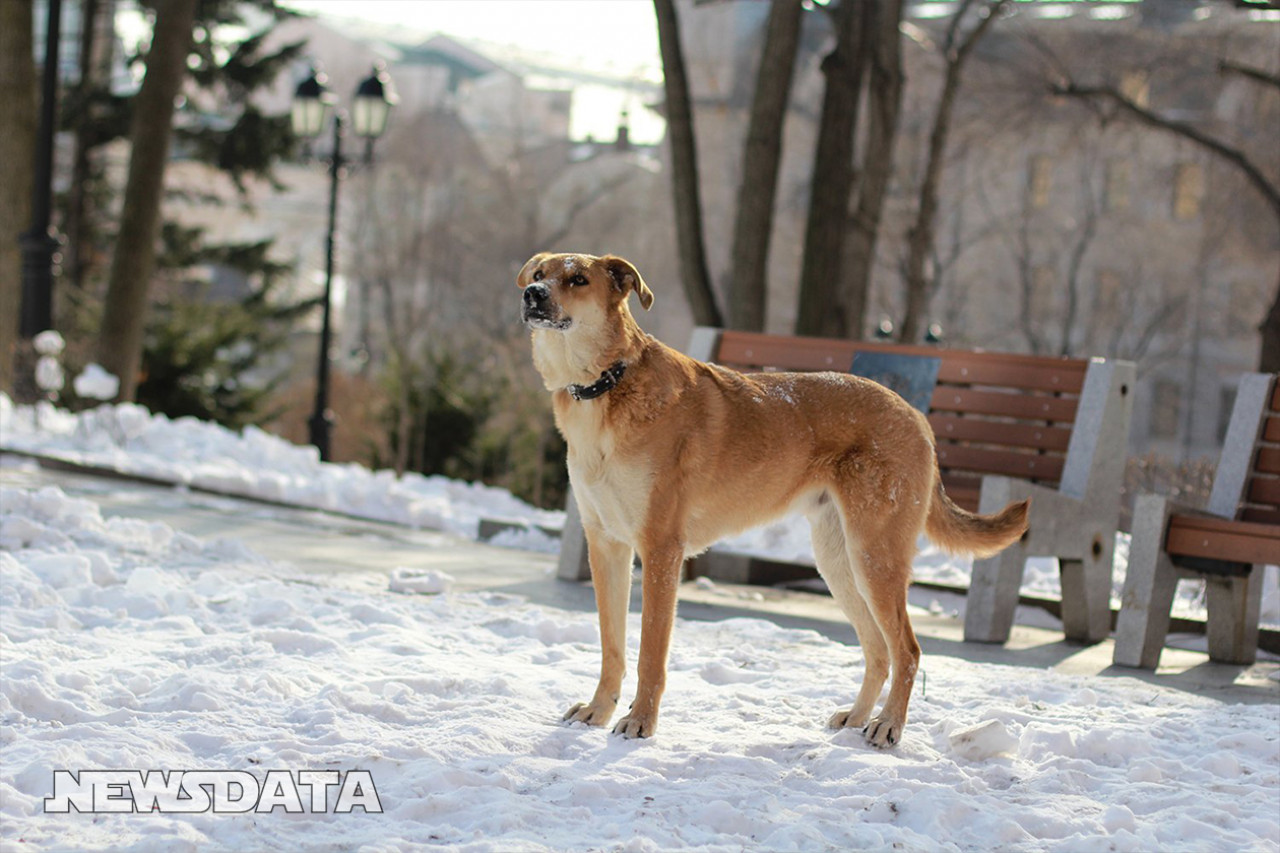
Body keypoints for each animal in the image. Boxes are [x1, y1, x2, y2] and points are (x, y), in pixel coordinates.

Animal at [519, 252, 1029, 742]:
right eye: (541, 271)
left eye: (578, 279)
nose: (532, 293)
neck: (607, 383)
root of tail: (916, 416)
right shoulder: (606, 545)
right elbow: (611, 646)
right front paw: (599, 711)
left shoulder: (661, 550)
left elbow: (650, 654)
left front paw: (640, 722)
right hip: (840, 562)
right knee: (878, 650)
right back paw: (858, 718)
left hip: (875, 557)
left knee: (907, 649)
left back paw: (888, 727)